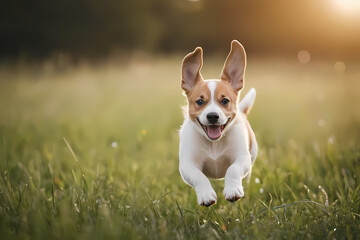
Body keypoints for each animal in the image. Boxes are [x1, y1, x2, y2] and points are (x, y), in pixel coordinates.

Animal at [179, 39, 258, 206]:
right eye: (200, 101)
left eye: (225, 101)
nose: (213, 116)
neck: (214, 144)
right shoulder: (187, 164)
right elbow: (198, 176)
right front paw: (206, 195)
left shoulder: (242, 157)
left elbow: (233, 169)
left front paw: (233, 190)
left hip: (252, 154)